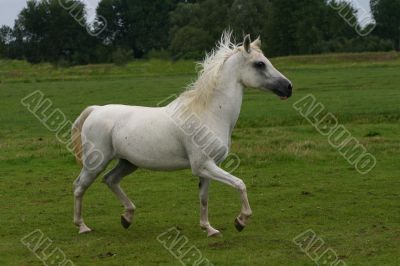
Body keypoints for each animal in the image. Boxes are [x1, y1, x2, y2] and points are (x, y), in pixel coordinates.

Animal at [71, 32, 290, 238]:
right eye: (259, 64)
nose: (288, 87)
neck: (209, 113)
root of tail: (96, 110)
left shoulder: (208, 167)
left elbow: (204, 199)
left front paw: (209, 229)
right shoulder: (203, 165)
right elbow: (239, 184)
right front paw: (241, 221)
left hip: (128, 163)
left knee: (110, 180)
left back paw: (127, 217)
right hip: (96, 163)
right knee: (79, 187)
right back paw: (82, 226)